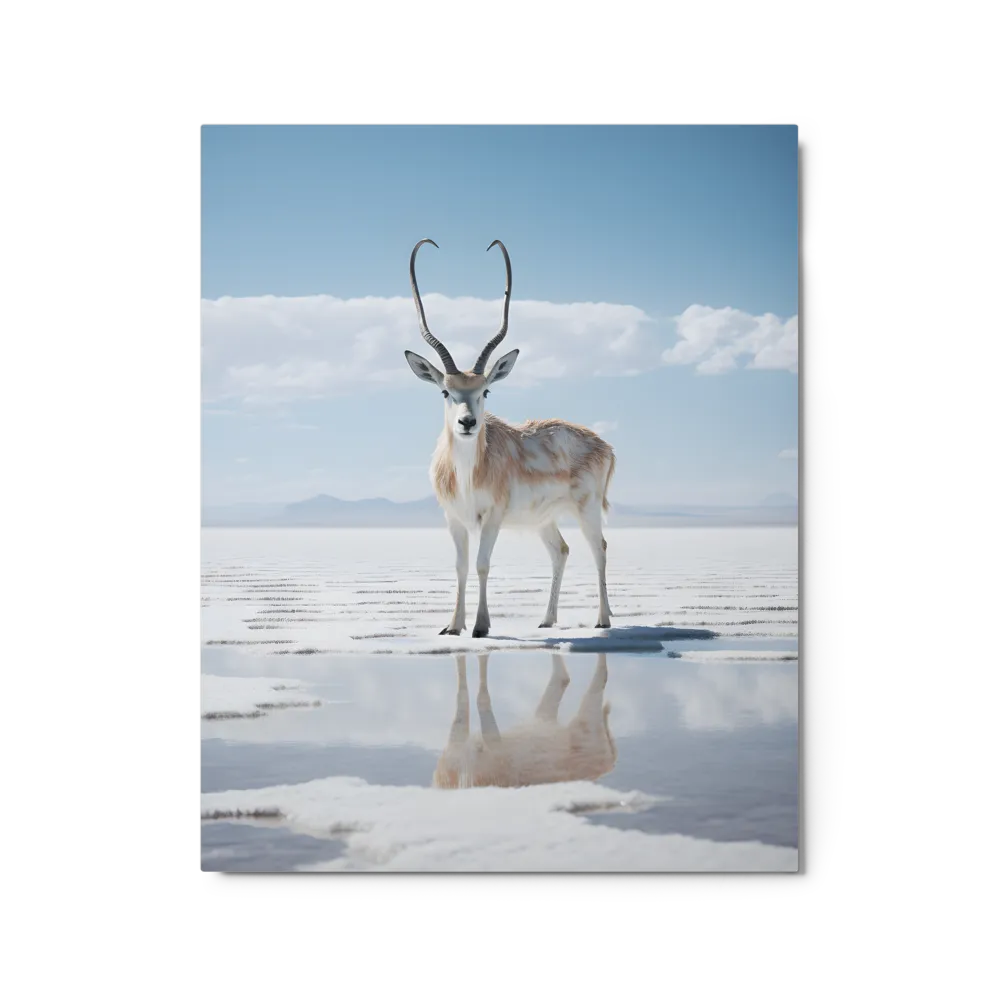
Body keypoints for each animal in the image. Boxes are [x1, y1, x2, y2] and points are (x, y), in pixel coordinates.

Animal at [404, 238, 616, 637]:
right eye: (445, 391)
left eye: (485, 390)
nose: (468, 422)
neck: (468, 474)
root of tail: (604, 444)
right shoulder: (454, 519)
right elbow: (460, 566)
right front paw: (452, 626)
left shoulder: (493, 516)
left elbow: (482, 564)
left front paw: (480, 626)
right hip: (544, 520)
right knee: (561, 550)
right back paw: (547, 621)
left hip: (588, 508)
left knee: (600, 548)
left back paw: (603, 620)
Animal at [432, 652, 617, 789]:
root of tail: (611, 761)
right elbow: (471, 696)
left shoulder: (489, 743)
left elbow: (476, 697)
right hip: (547, 718)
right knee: (565, 677)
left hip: (586, 717)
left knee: (600, 673)